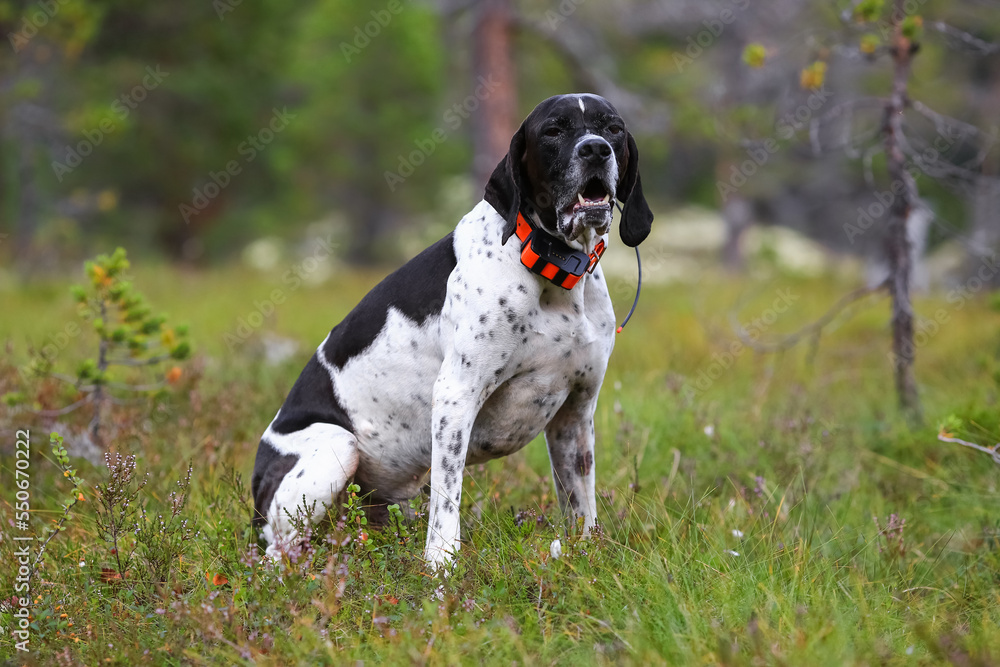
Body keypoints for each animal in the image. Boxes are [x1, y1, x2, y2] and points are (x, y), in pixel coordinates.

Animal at [254, 91, 652, 568]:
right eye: (554, 130)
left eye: (613, 128)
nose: (595, 149)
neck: (550, 268)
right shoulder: (455, 396)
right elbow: (448, 501)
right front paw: (440, 565)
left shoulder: (575, 411)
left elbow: (580, 504)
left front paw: (585, 552)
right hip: (336, 449)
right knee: (276, 555)